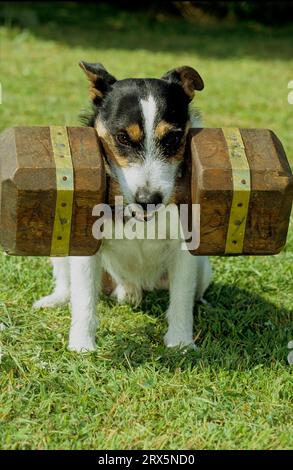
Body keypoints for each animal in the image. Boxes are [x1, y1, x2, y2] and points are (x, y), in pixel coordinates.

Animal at [34, 60, 211, 350]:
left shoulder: (184, 250)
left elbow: (182, 300)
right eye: (123, 138)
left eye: (173, 139)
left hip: (203, 267)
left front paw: (181, 342)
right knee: (68, 286)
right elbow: (84, 299)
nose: (148, 200)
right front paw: (82, 345)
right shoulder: (84, 246)